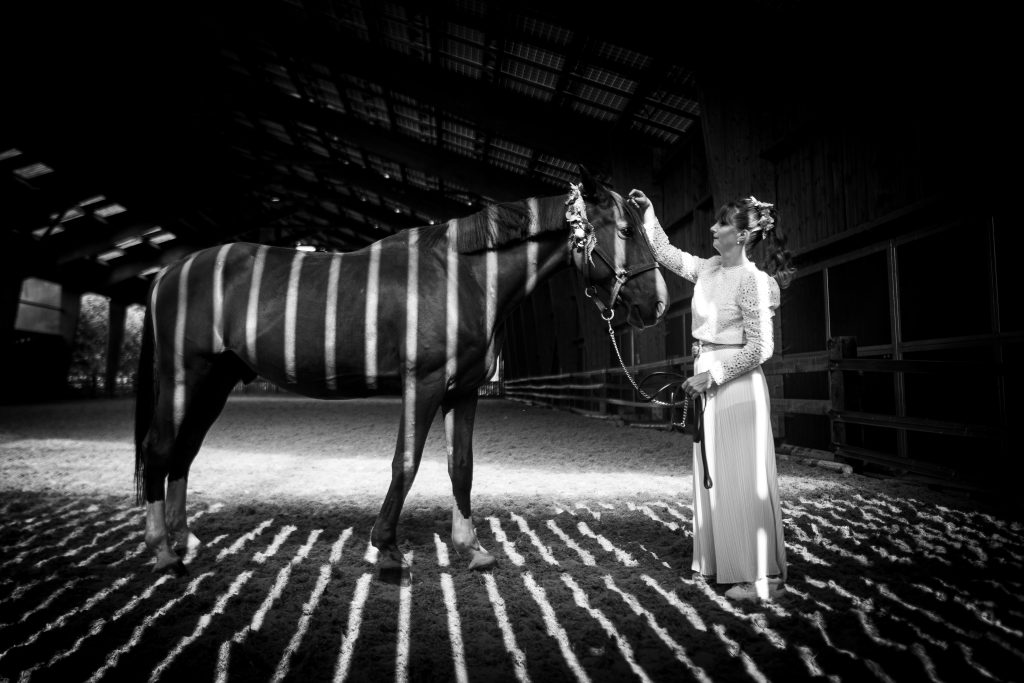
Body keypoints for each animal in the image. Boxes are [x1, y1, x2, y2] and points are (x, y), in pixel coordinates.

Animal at [134, 168, 669, 574]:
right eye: (625, 232)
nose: (657, 305)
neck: (463, 276)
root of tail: (170, 272)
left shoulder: (462, 392)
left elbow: (461, 466)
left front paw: (471, 548)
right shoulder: (424, 384)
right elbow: (405, 463)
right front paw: (387, 549)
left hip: (214, 382)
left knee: (183, 453)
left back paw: (185, 541)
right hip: (183, 378)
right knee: (159, 450)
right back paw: (163, 552)